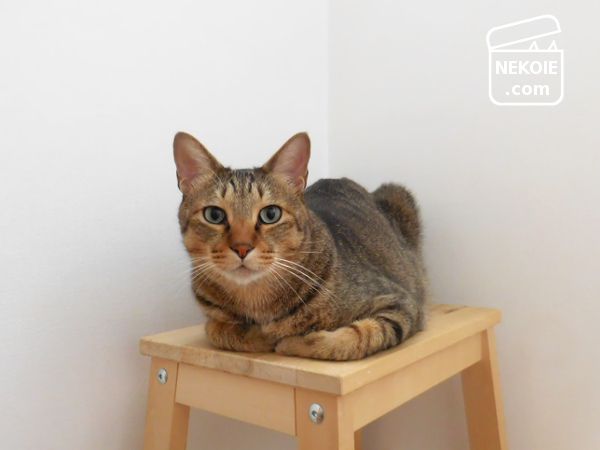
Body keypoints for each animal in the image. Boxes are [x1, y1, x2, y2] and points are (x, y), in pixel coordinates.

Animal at [173, 131, 428, 360]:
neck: (256, 301)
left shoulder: (400, 303)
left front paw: (290, 341)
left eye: (271, 214)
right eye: (214, 215)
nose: (242, 248)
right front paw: (262, 336)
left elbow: (356, 336)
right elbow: (217, 330)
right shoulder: (212, 317)